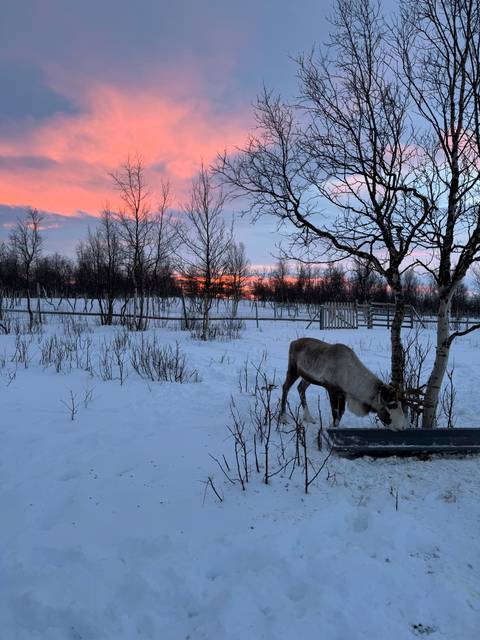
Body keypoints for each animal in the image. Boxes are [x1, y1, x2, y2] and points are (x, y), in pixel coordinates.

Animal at [280, 338, 408, 430]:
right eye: (392, 405)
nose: (402, 427)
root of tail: (293, 342)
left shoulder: (343, 393)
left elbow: (341, 413)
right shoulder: (331, 389)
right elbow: (335, 412)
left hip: (307, 378)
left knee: (300, 388)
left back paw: (308, 418)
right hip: (293, 369)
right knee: (285, 387)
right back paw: (283, 418)